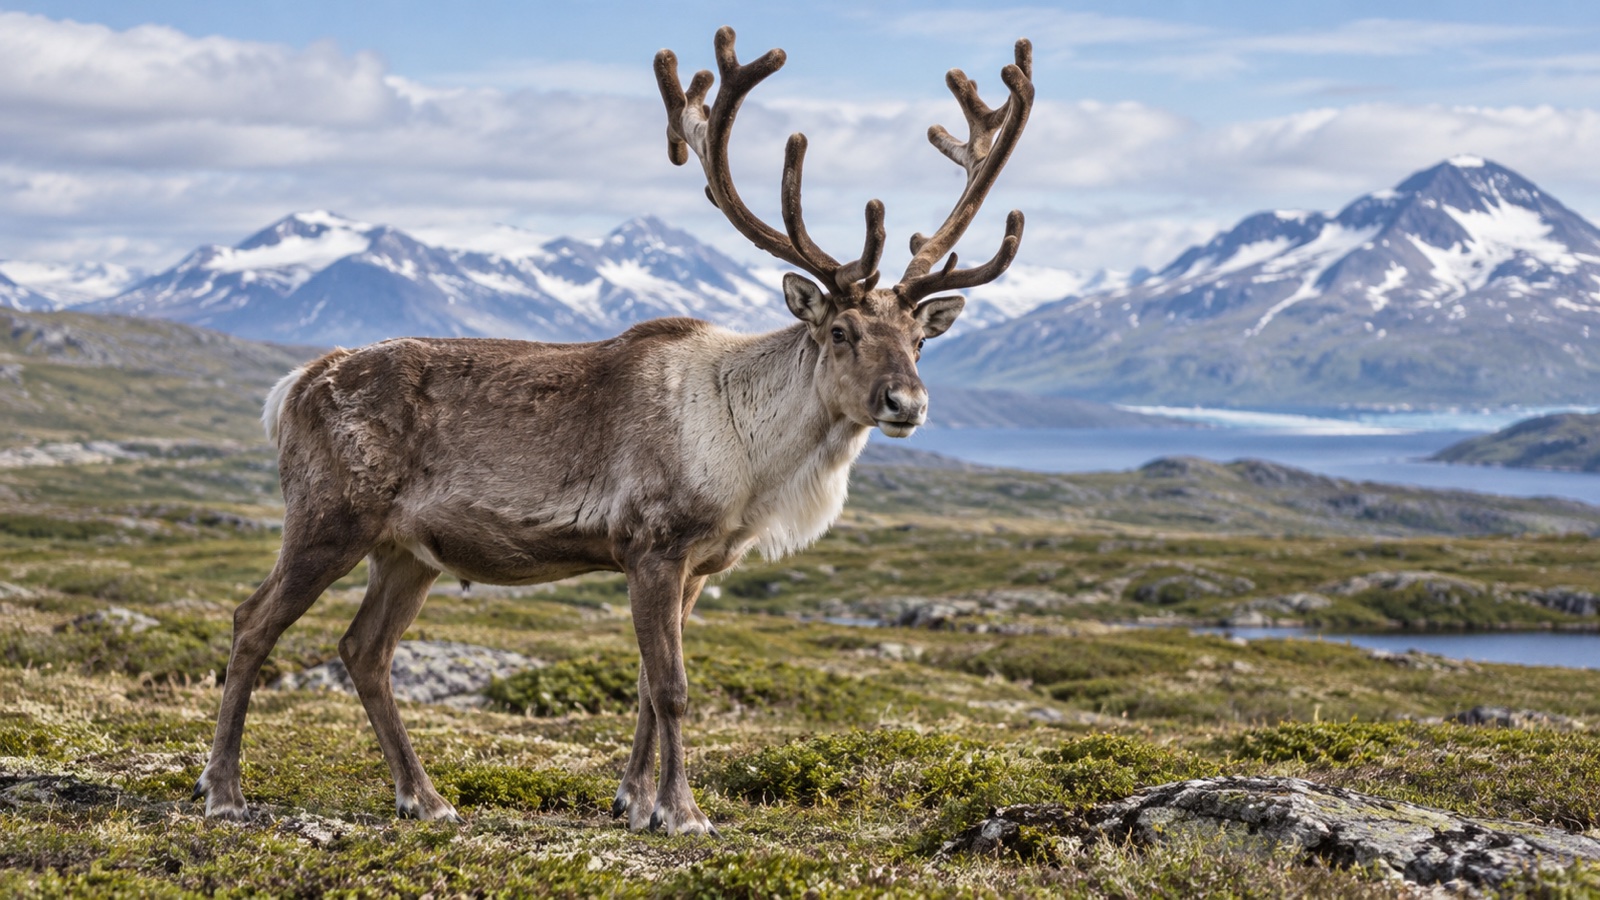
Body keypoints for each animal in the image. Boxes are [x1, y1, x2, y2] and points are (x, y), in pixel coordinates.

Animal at [194, 26, 1033, 835]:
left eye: (919, 339)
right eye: (841, 332)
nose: (906, 402)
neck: (755, 465)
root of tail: (293, 387)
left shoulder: (697, 568)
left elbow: (642, 685)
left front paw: (633, 801)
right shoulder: (653, 546)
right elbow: (673, 687)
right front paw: (683, 813)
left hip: (407, 551)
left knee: (363, 650)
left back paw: (424, 798)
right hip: (329, 517)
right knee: (252, 622)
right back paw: (225, 793)